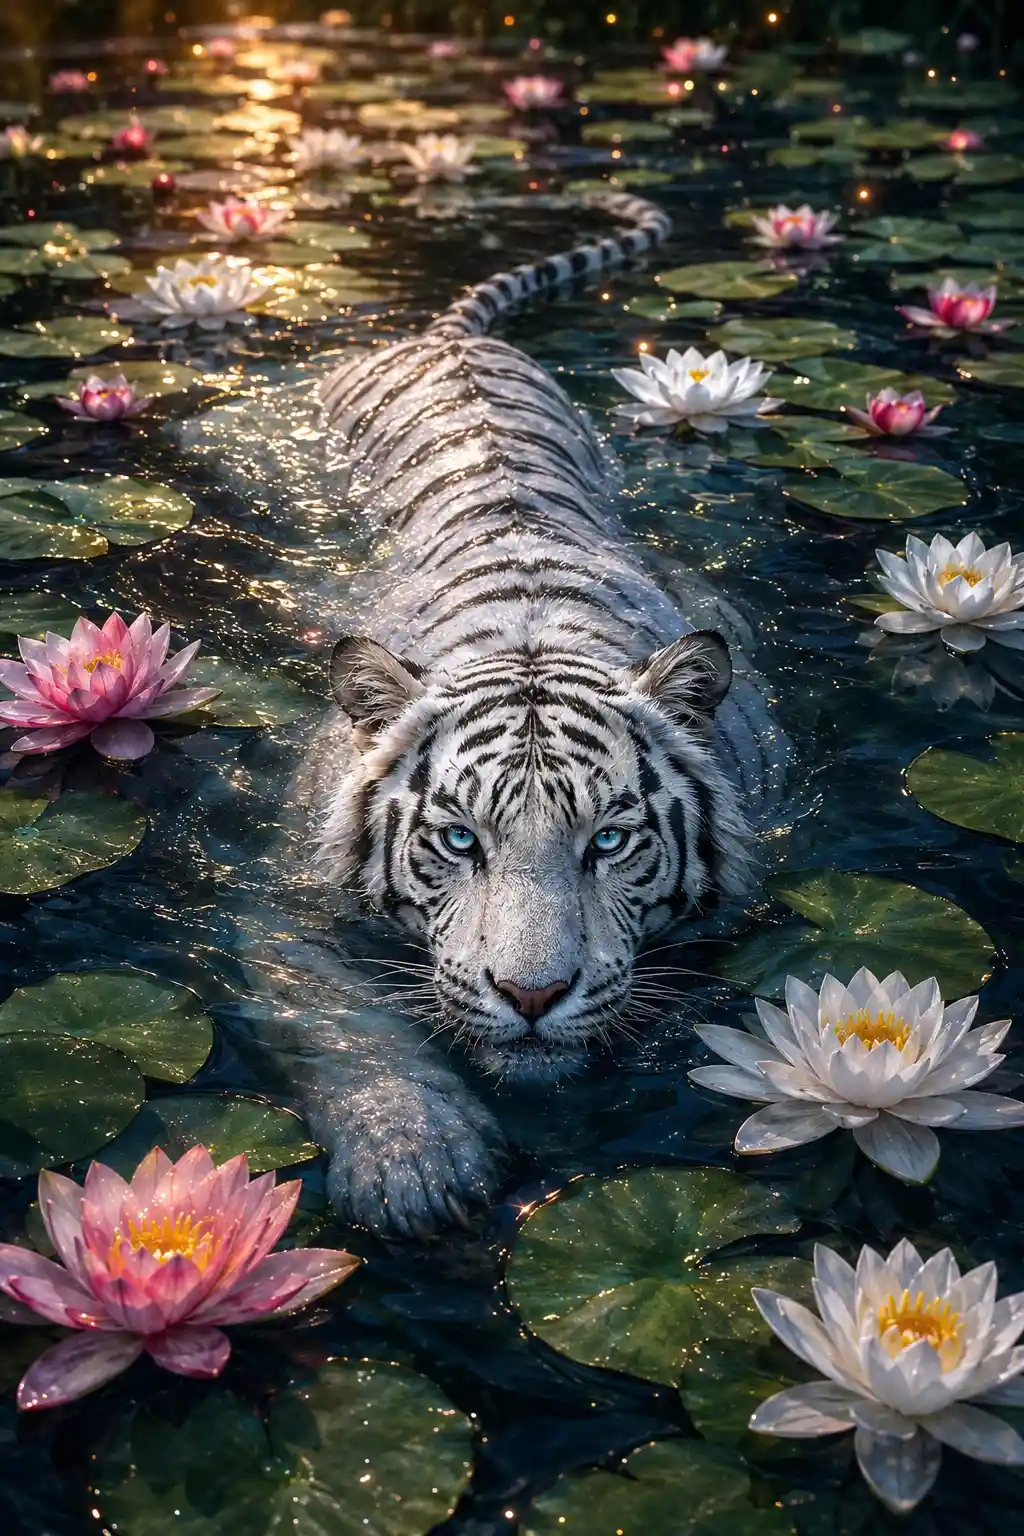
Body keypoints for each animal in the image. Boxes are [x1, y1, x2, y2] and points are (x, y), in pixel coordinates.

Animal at [252, 191, 790, 1237]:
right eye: (460, 841)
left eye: (610, 841)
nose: (532, 994)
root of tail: (444, 335)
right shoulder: (283, 908)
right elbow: (343, 1022)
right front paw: (411, 1160)